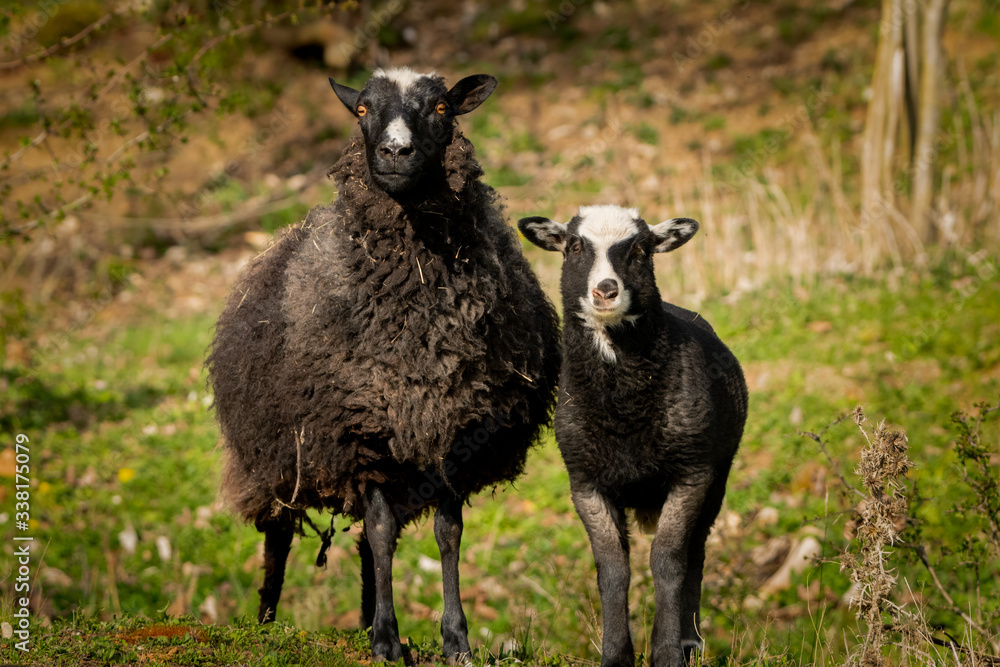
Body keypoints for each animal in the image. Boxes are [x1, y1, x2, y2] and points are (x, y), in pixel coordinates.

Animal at [207, 67, 561, 663]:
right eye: (361, 109)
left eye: (441, 107)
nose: (396, 151)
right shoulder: (361, 436)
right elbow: (374, 529)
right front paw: (387, 643)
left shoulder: (454, 432)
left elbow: (446, 533)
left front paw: (454, 639)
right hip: (281, 454)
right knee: (282, 534)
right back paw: (267, 624)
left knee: (378, 544)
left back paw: (366, 617)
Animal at [518, 205, 748, 667]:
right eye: (574, 246)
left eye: (641, 250)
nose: (606, 291)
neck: (623, 407)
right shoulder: (586, 483)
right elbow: (612, 569)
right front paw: (616, 654)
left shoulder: (691, 474)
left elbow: (668, 561)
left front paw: (668, 652)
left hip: (717, 476)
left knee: (695, 553)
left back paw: (689, 641)